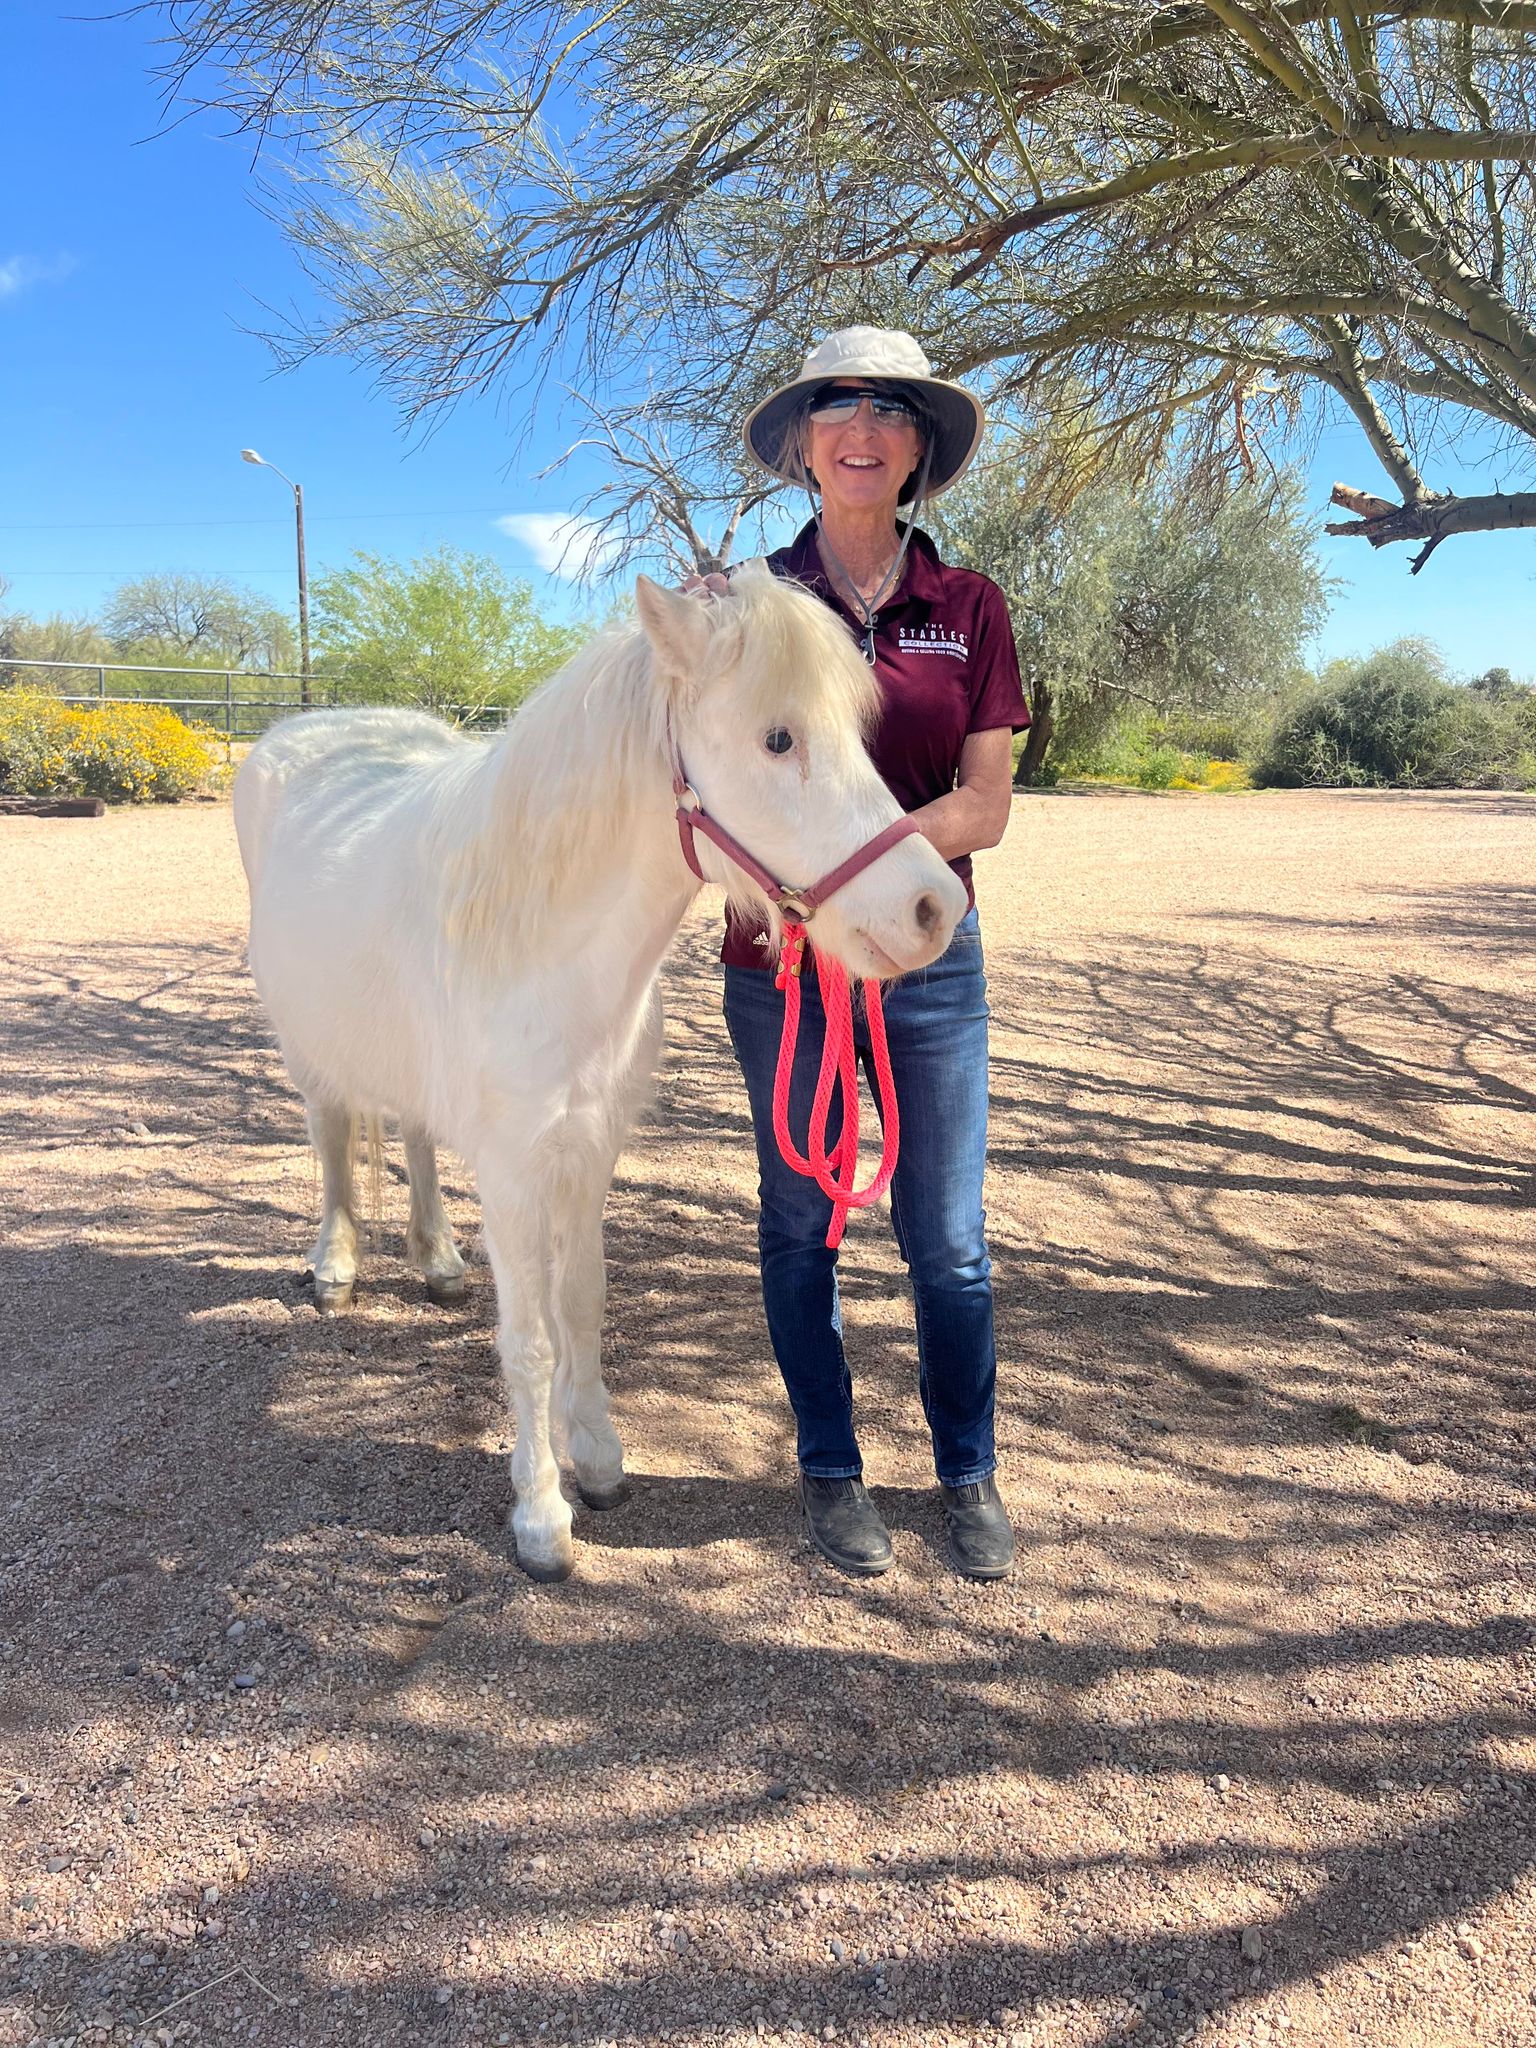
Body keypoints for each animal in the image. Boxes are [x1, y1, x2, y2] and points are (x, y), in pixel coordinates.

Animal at [233, 567, 968, 1580]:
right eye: (778, 738)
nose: (935, 908)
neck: (545, 949)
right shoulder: (513, 1172)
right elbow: (531, 1342)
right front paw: (542, 1516)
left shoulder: (591, 1151)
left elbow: (581, 1304)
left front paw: (599, 1458)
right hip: (309, 1053)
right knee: (335, 1142)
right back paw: (336, 1267)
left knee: (414, 1137)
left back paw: (437, 1259)